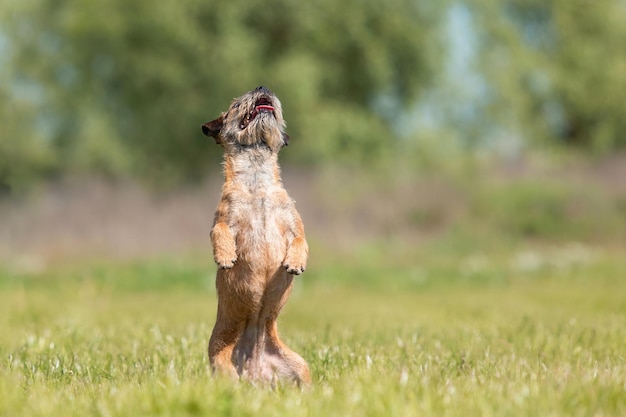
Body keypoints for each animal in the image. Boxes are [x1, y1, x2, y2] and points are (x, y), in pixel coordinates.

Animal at [200, 86, 310, 386]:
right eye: (236, 104)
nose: (262, 87)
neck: (256, 182)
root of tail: (256, 373)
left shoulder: (293, 224)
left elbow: (301, 241)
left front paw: (295, 262)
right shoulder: (224, 219)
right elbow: (219, 232)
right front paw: (225, 257)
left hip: (300, 366)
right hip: (223, 365)